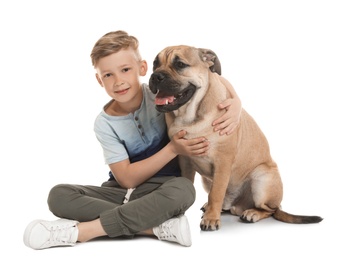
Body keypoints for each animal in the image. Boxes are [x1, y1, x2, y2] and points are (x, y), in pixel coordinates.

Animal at [148, 45, 322, 231]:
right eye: (155, 64)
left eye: (180, 64)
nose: (156, 76)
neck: (190, 116)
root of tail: (238, 205)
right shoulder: (185, 160)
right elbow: (189, 183)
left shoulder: (222, 161)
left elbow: (216, 193)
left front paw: (211, 219)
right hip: (207, 180)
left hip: (262, 180)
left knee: (271, 210)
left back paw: (251, 213)